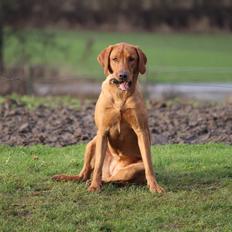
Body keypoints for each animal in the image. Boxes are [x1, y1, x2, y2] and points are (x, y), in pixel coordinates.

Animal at [53, 42, 165, 193]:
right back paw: (75, 178)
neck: (120, 94)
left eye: (132, 59)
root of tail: (113, 170)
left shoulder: (141, 131)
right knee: (85, 174)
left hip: (131, 169)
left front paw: (154, 186)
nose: (123, 75)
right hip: (92, 143)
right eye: (115, 59)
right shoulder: (102, 131)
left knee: (116, 180)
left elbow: (149, 164)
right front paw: (95, 186)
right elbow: (98, 167)